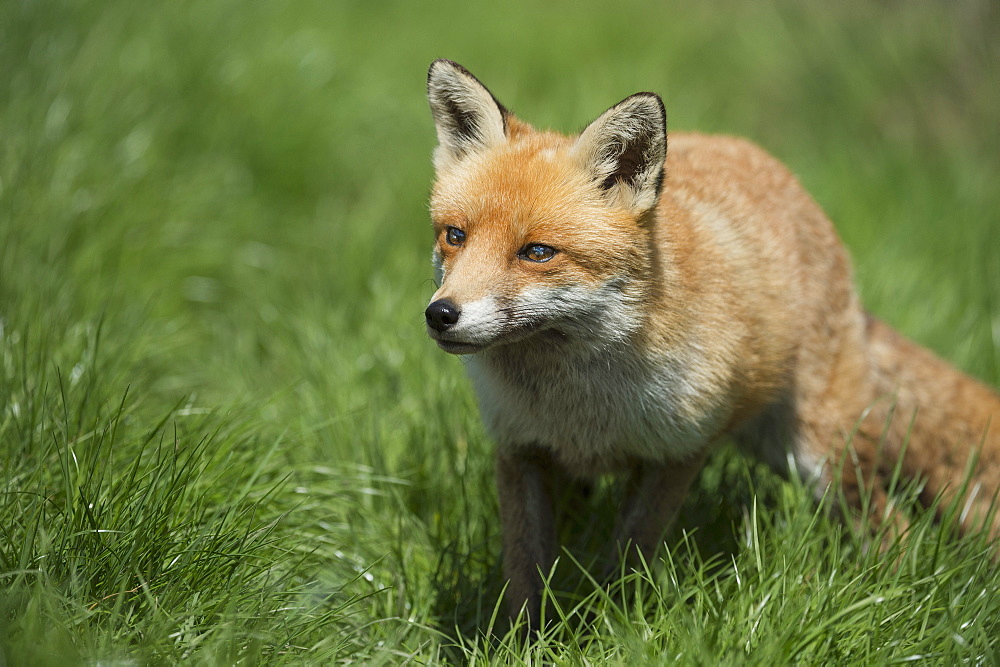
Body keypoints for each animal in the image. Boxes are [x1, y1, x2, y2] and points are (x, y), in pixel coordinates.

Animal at [422, 57, 1000, 628]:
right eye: (455, 236)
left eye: (537, 252)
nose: (440, 315)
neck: (581, 405)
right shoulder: (522, 450)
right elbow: (524, 573)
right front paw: (524, 641)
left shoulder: (677, 451)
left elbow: (626, 558)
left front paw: (611, 625)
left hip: (821, 453)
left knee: (894, 527)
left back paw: (895, 601)